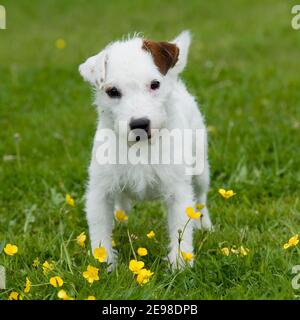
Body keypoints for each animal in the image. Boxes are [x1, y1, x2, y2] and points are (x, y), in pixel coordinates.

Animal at [78, 31, 212, 268]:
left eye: (154, 84)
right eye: (113, 91)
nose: (140, 123)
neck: (140, 148)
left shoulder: (178, 191)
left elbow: (181, 228)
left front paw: (180, 264)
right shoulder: (100, 191)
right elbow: (100, 231)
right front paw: (103, 263)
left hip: (200, 170)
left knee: (201, 200)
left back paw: (205, 225)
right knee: (122, 202)